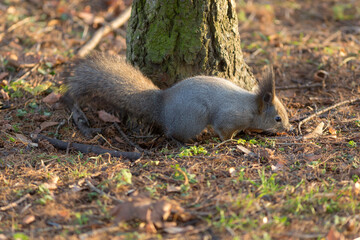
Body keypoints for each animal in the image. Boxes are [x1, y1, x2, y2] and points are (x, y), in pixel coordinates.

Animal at [64, 51, 290, 142]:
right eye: (277, 118)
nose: (288, 128)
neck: (251, 107)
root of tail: (162, 105)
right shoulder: (229, 118)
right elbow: (224, 131)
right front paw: (231, 141)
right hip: (194, 117)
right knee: (172, 134)